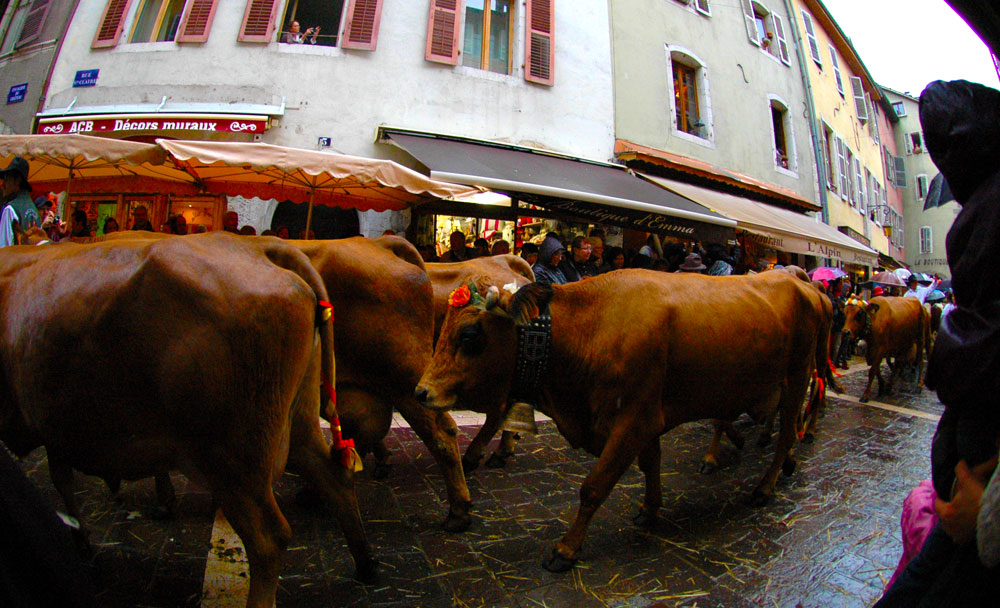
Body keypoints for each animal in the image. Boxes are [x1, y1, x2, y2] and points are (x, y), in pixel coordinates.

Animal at [0, 232, 376, 604]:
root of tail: (258, 248)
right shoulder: (55, 428)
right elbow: (63, 477)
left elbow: (61, 480)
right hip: (298, 422)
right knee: (336, 479)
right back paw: (365, 566)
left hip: (236, 459)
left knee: (269, 538)